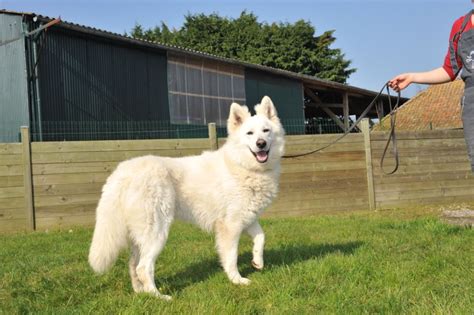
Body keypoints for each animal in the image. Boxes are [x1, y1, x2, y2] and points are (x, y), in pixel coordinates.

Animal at [87, 97, 284, 302]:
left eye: (266, 131)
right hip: (157, 232)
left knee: (132, 265)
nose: (261, 144)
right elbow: (231, 257)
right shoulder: (230, 226)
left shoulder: (247, 218)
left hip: (138, 236)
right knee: (143, 267)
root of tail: (122, 171)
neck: (245, 166)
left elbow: (261, 237)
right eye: (249, 133)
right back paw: (159, 296)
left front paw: (257, 262)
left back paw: (140, 293)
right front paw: (237, 280)